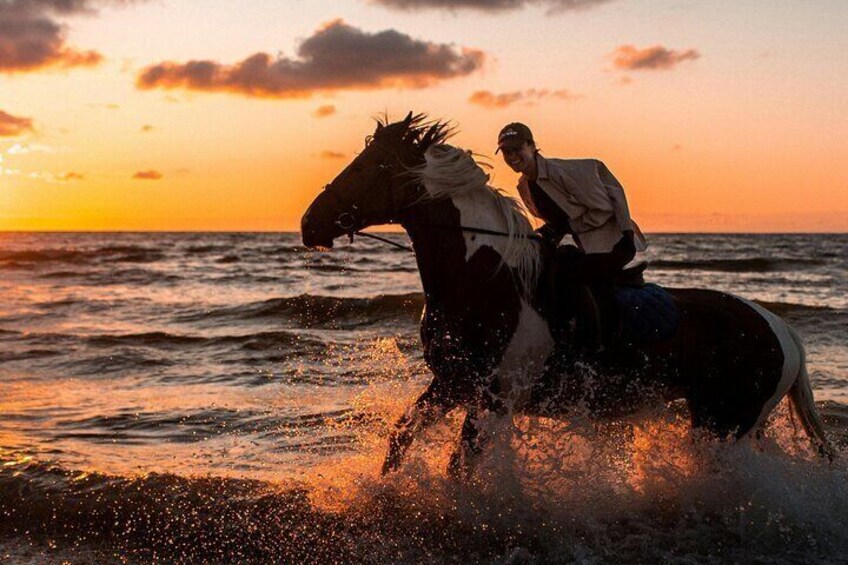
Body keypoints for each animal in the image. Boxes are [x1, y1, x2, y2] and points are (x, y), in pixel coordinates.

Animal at [302, 110, 832, 476]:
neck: (483, 280)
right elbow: (401, 439)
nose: (309, 224)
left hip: (724, 426)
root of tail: (782, 330)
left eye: (371, 166)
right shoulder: (452, 384)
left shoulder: (494, 398)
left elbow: (460, 466)